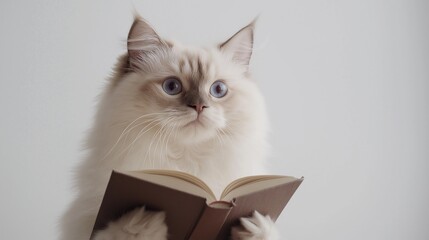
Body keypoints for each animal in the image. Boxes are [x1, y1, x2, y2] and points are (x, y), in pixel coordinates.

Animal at [59, 16, 278, 240]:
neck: (187, 163)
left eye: (218, 89)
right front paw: (141, 222)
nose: (199, 106)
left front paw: (255, 226)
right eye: (172, 87)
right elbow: (119, 232)